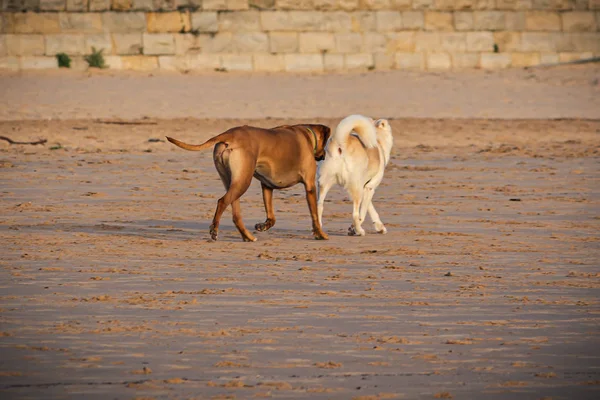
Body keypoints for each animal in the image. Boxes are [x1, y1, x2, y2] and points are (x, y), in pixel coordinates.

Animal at [166, 122, 330, 241]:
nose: (324, 155)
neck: (307, 135)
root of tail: (229, 134)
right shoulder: (310, 186)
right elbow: (315, 214)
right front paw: (320, 234)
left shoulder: (266, 186)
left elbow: (272, 216)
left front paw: (263, 226)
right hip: (243, 181)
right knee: (222, 201)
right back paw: (215, 229)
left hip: (234, 181)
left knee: (235, 213)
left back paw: (247, 236)